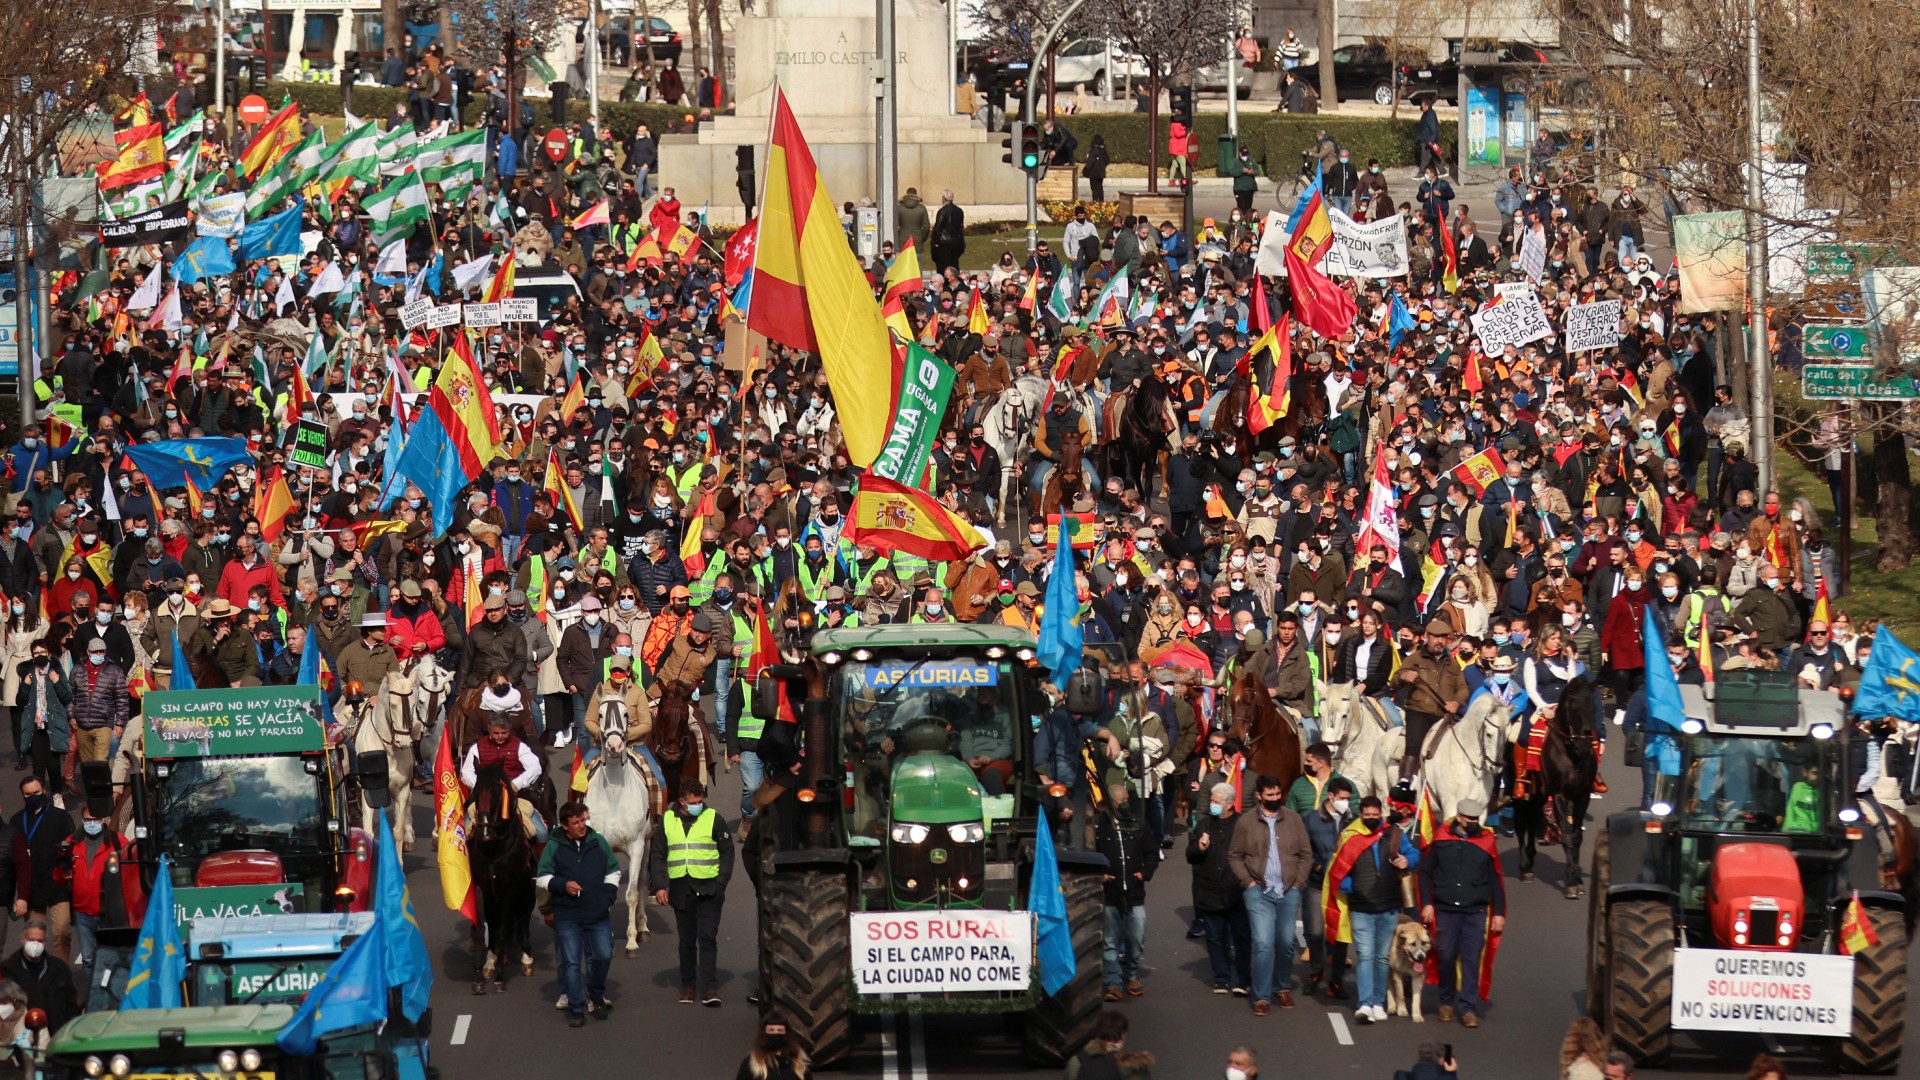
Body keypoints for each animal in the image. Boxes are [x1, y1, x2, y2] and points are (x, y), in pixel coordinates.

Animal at [579, 687, 656, 949]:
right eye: (601, 714)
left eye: (625, 713)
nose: (614, 744)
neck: (614, 790)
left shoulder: (636, 845)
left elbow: (632, 893)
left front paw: (631, 940)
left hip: (648, 842)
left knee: (642, 880)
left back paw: (643, 927)